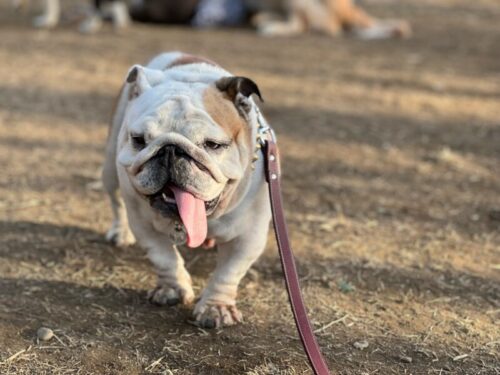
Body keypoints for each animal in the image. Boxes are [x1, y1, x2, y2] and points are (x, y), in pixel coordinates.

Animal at [103, 52, 272, 328]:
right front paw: (173, 289)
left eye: (213, 145)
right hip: (109, 166)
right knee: (115, 199)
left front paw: (216, 307)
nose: (170, 150)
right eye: (138, 140)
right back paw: (120, 232)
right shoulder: (144, 226)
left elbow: (229, 272)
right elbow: (163, 257)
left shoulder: (249, 235)